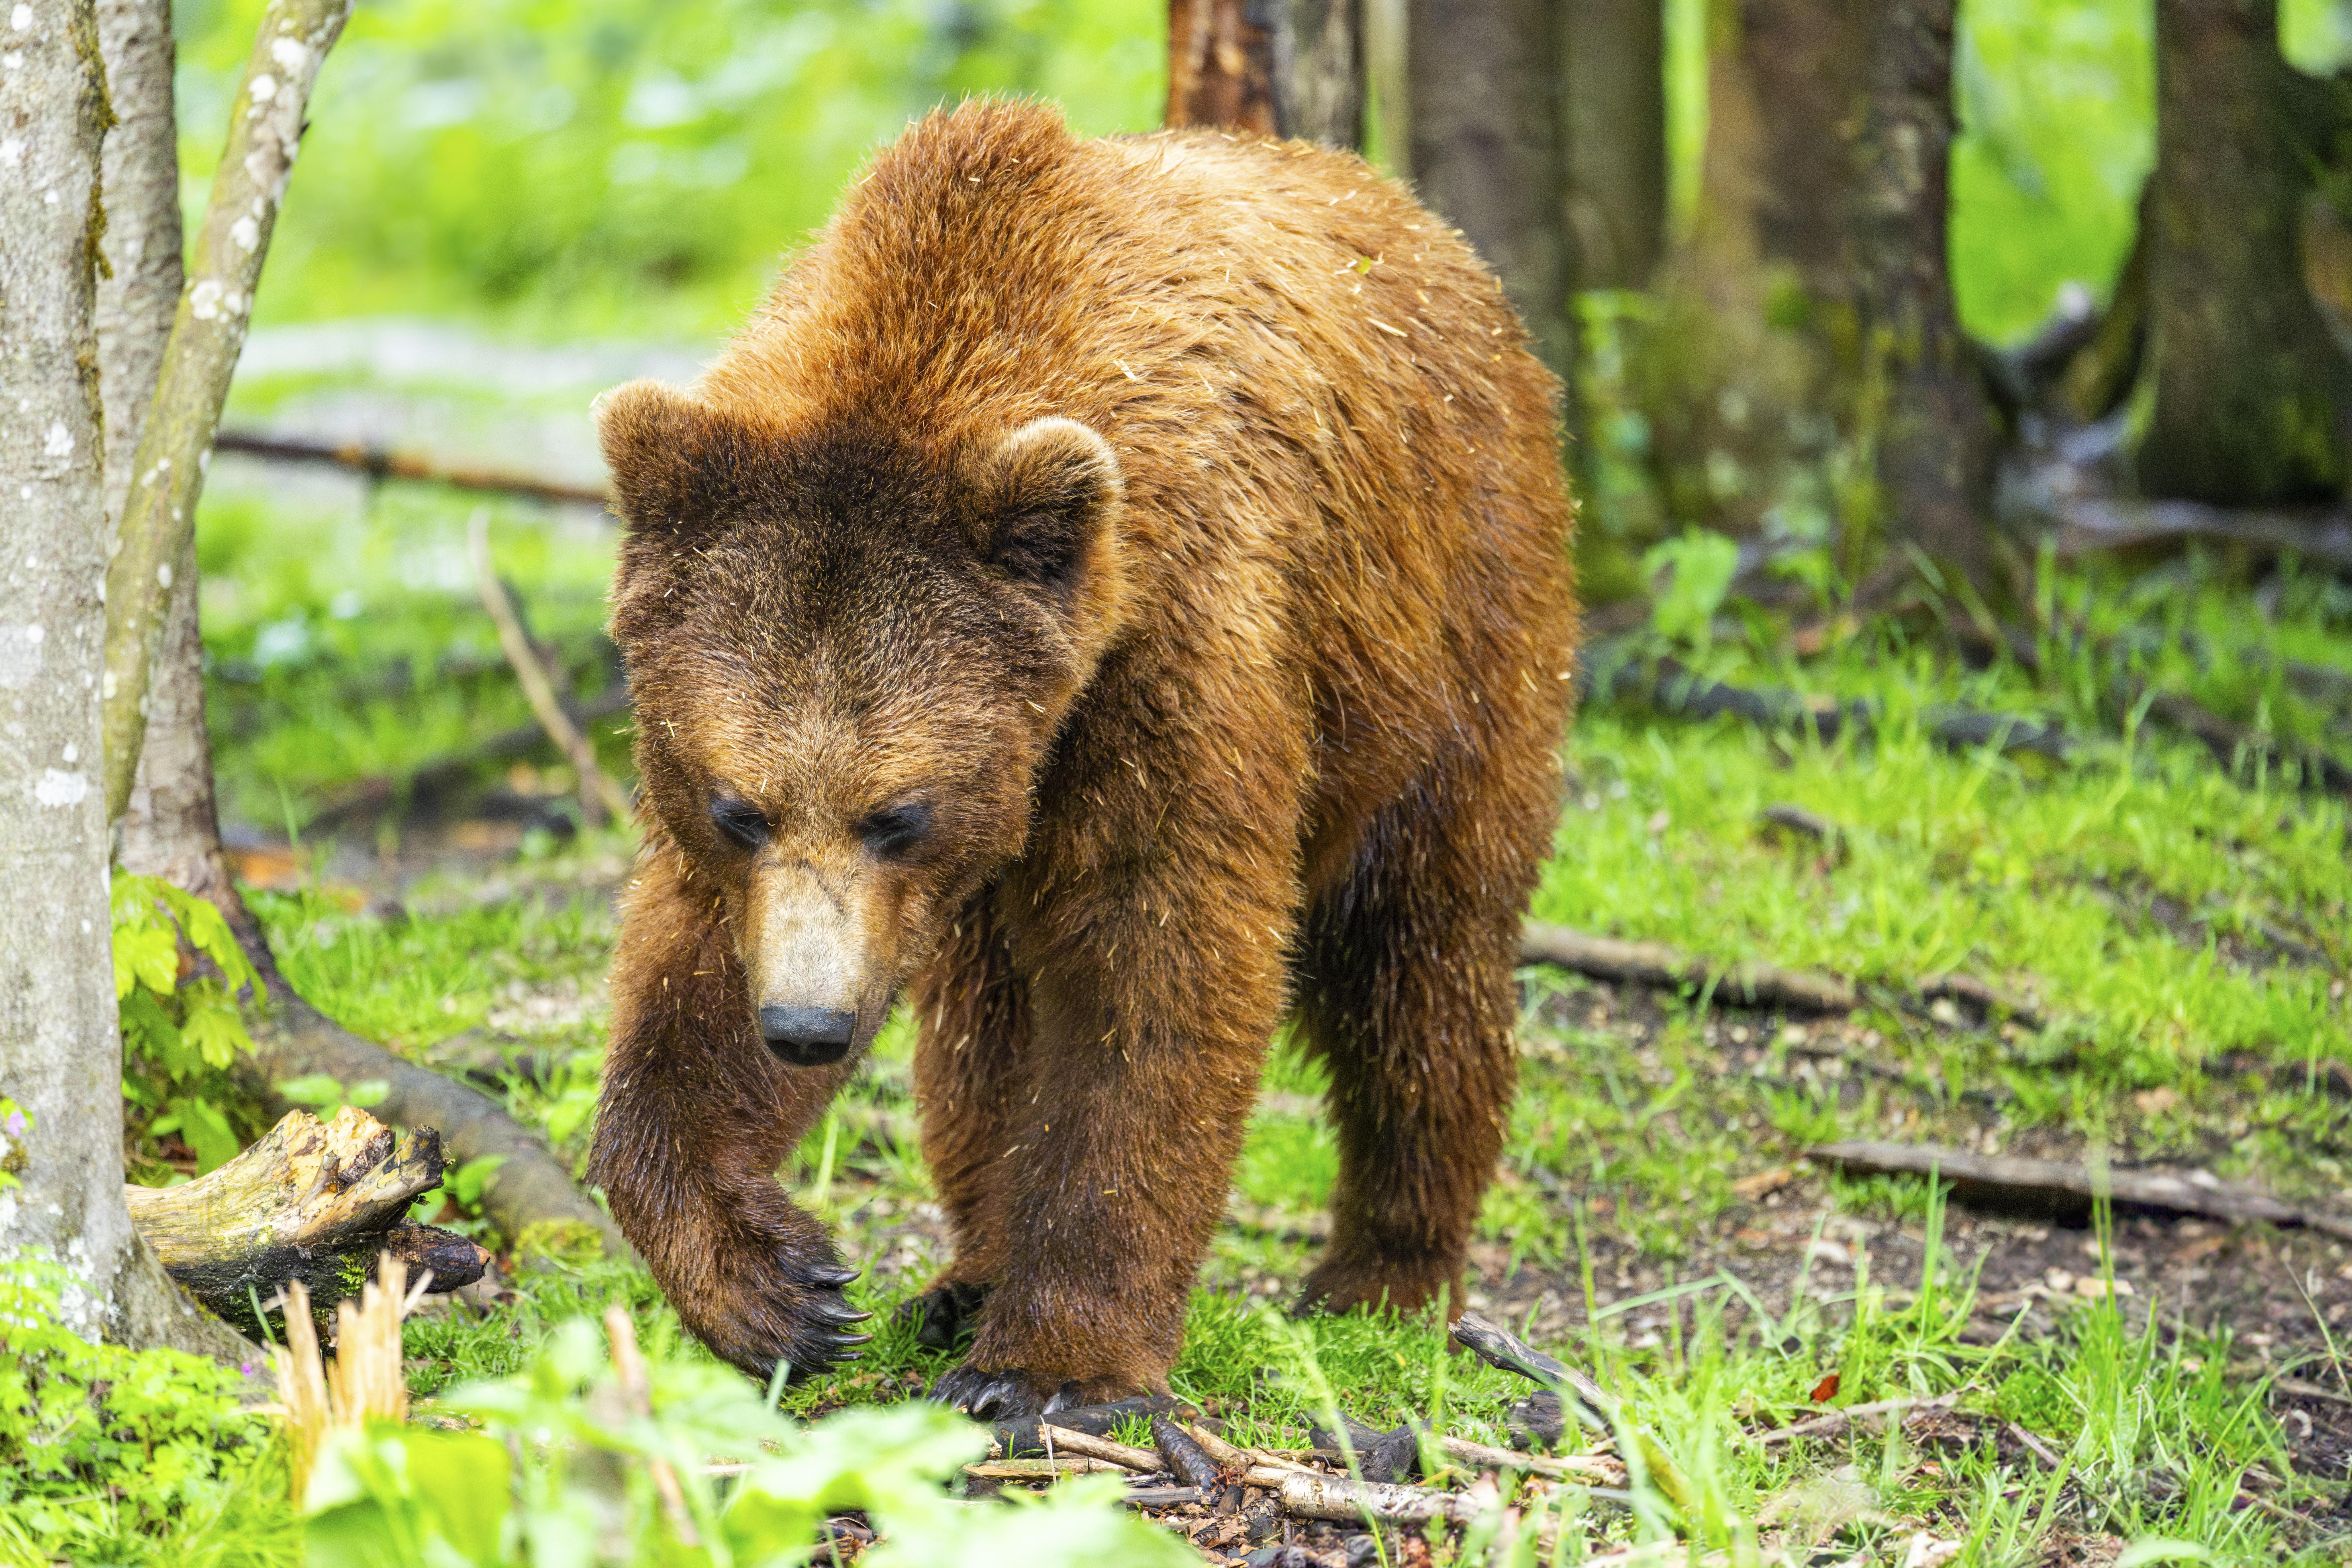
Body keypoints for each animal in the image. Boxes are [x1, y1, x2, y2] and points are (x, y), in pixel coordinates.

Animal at [585, 99, 1577, 1419]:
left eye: (899, 811)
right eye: (739, 806)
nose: (805, 1025)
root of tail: (1426, 228)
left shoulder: (1173, 643)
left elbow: (1153, 958)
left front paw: (1056, 1363)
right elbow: (691, 972)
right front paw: (772, 1282)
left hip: (1454, 633)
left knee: (1419, 965)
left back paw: (1384, 1274)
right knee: (984, 1028)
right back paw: (968, 1275)